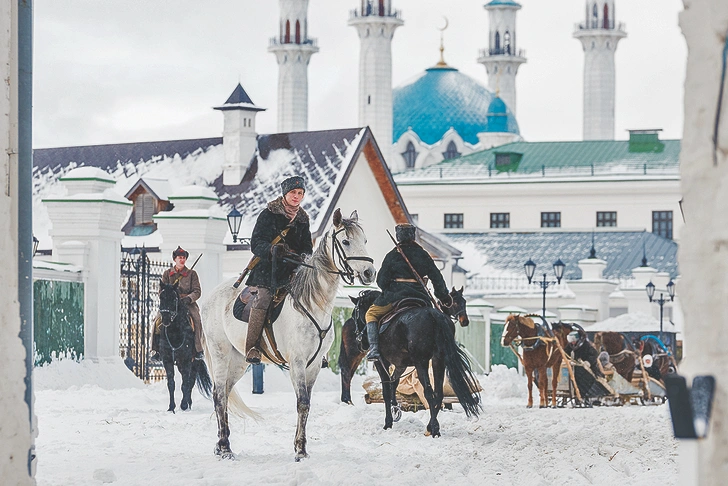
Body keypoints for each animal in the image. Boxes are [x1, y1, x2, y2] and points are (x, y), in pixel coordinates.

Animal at [158, 282, 212, 412]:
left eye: (174, 298)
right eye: (161, 297)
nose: (166, 319)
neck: (174, 332)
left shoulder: (187, 360)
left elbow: (186, 384)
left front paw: (183, 405)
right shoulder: (167, 360)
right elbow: (171, 384)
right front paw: (171, 407)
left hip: (194, 362)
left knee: (190, 381)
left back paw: (188, 403)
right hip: (180, 364)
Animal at [202, 208, 378, 460]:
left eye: (364, 241)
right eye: (345, 241)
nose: (369, 272)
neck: (313, 305)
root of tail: (211, 296)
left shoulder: (313, 365)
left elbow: (306, 403)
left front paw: (299, 446)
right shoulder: (297, 362)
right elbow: (302, 403)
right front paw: (301, 450)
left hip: (238, 361)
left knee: (225, 393)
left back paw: (220, 444)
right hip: (220, 354)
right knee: (218, 396)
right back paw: (225, 447)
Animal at [346, 288, 478, 436]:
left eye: (354, 315)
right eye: (456, 302)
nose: (360, 342)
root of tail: (433, 315)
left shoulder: (381, 362)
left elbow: (386, 390)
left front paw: (388, 422)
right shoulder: (400, 365)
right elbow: (394, 383)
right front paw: (395, 407)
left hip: (421, 363)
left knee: (429, 393)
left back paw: (433, 428)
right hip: (438, 361)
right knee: (438, 394)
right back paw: (431, 427)